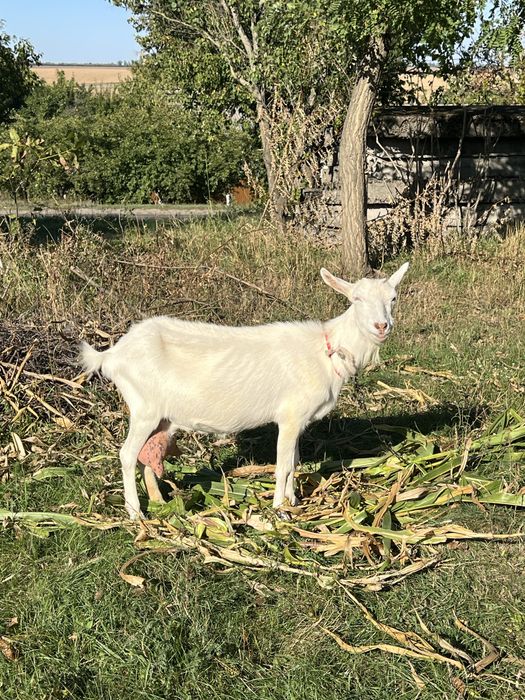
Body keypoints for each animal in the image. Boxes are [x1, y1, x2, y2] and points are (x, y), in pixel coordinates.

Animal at [80, 262, 409, 519]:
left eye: (393, 298)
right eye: (356, 298)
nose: (382, 326)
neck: (326, 351)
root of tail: (112, 355)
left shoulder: (300, 421)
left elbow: (294, 462)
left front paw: (293, 500)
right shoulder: (290, 416)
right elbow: (282, 466)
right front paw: (280, 509)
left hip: (161, 416)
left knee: (148, 453)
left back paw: (159, 503)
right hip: (143, 408)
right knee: (127, 454)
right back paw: (136, 513)